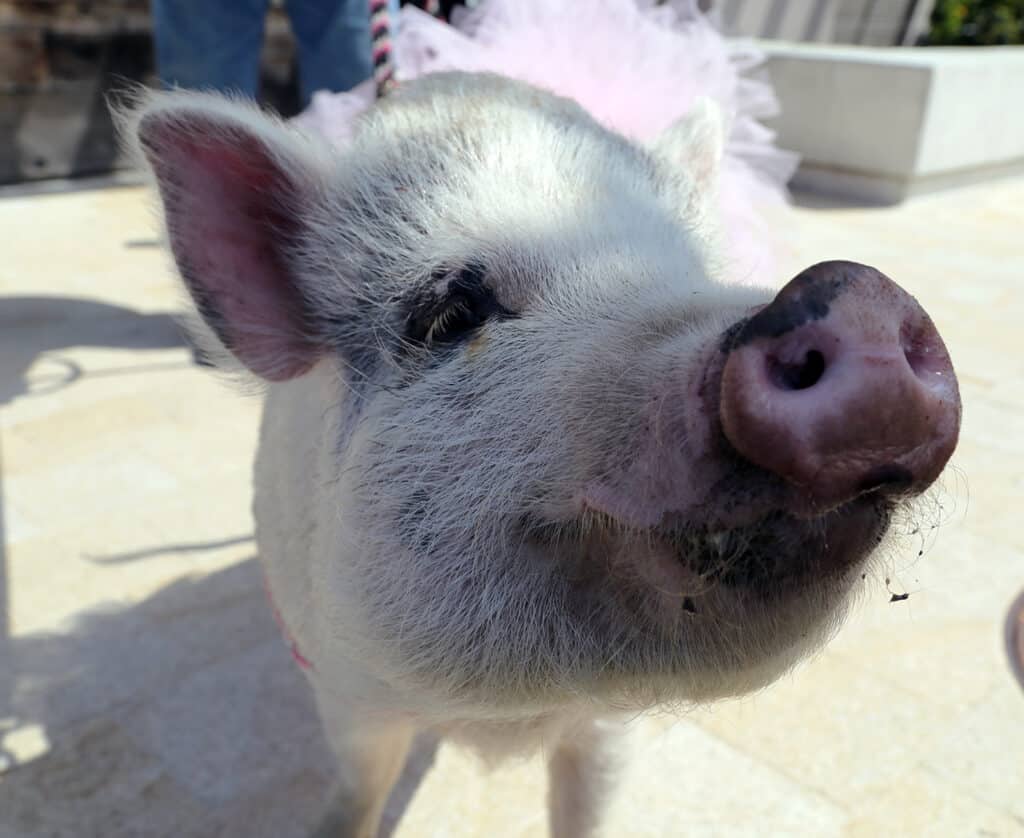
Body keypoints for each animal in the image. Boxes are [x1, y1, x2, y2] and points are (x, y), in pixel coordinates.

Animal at [121, 73, 958, 835]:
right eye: (448, 314)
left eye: (692, 274)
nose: (858, 298)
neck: (501, 713)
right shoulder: (342, 688)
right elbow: (360, 789)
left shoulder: (607, 727)